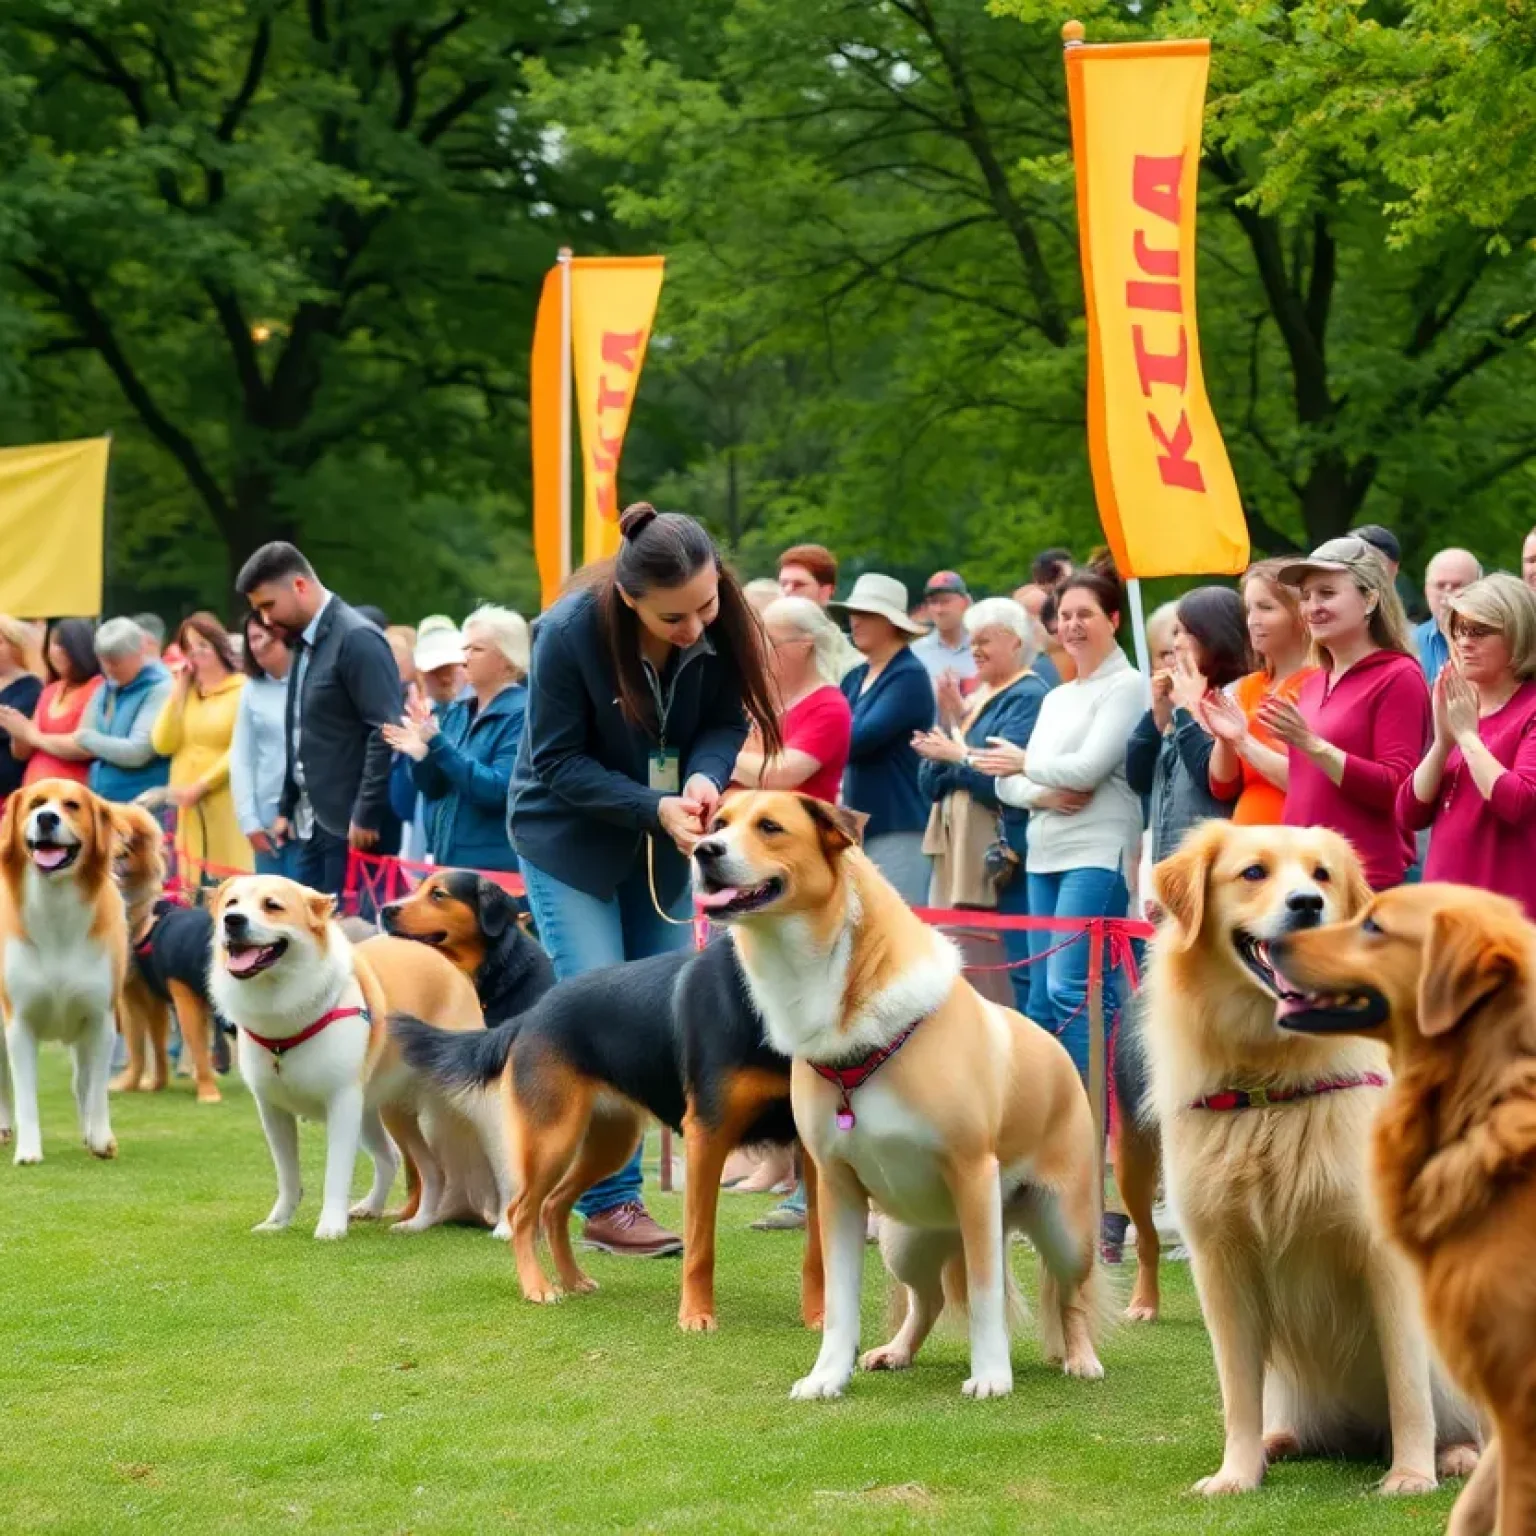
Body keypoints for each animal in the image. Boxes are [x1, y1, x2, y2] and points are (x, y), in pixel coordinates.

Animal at [0, 780, 128, 1161]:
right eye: (35, 804)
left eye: (72, 805)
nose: (46, 818)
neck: (55, 906)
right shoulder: (19, 1022)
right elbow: (24, 1092)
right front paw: (28, 1151)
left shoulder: (100, 1019)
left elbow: (95, 1088)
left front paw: (100, 1137)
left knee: (82, 1082)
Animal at [208, 878, 491, 1234]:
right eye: (231, 904)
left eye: (272, 906)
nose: (232, 921)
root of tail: (445, 963)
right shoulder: (273, 1110)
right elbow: (287, 1176)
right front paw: (277, 1222)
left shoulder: (342, 1103)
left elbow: (336, 1173)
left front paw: (331, 1227)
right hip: (384, 1110)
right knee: (413, 1164)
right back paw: (411, 1221)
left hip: (457, 1098)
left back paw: (502, 1226)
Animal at [694, 798, 1105, 1400]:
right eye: (718, 823)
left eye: (770, 827)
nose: (703, 851)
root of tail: (1060, 1055)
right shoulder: (836, 1185)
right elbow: (841, 1300)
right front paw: (827, 1376)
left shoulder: (974, 1173)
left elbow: (986, 1293)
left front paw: (991, 1375)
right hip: (905, 1240)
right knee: (925, 1299)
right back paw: (896, 1352)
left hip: (1063, 1227)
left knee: (1072, 1295)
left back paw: (1081, 1358)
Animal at [1148, 823, 1480, 1492]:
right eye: (1253, 872)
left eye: (1322, 875)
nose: (1308, 904)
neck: (1269, 1086)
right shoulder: (1221, 1261)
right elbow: (1237, 1393)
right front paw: (1236, 1474)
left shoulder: (1386, 1258)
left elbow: (1408, 1384)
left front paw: (1411, 1475)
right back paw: (1276, 1442)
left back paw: (1456, 1454)